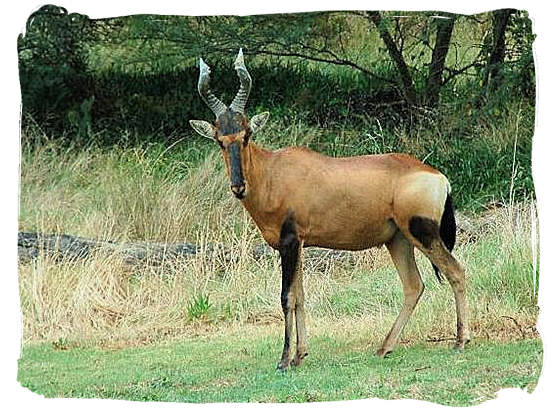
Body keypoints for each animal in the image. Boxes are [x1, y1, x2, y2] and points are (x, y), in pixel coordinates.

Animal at [189, 49, 470, 370]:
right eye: (219, 140)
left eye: (246, 134)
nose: (238, 187)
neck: (273, 171)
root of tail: (438, 176)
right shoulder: (297, 244)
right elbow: (300, 296)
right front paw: (300, 356)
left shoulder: (289, 242)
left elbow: (286, 296)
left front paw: (284, 360)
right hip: (397, 239)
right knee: (414, 286)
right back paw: (385, 347)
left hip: (422, 232)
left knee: (455, 271)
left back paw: (460, 341)